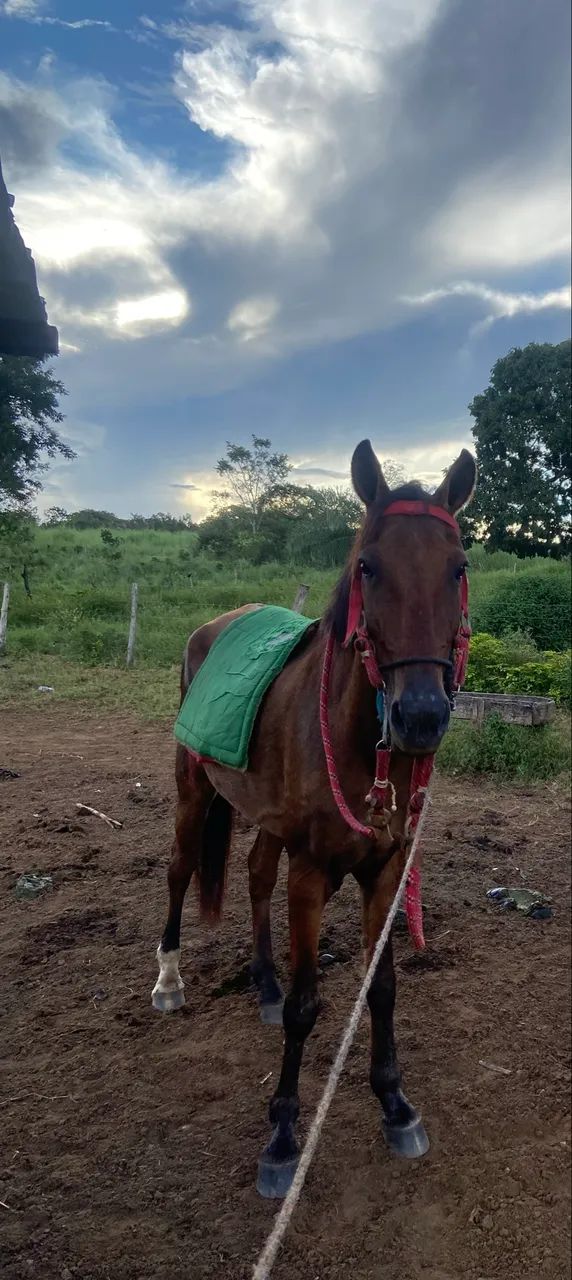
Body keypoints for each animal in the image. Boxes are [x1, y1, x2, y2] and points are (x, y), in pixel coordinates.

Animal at [152, 438, 476, 1196]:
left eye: (458, 567)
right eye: (368, 566)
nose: (421, 716)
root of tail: (218, 623)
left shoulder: (385, 871)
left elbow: (381, 988)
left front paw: (394, 1102)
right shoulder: (311, 875)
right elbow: (307, 1008)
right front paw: (281, 1137)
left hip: (267, 820)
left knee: (252, 875)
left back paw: (263, 982)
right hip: (193, 790)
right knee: (181, 870)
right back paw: (169, 980)